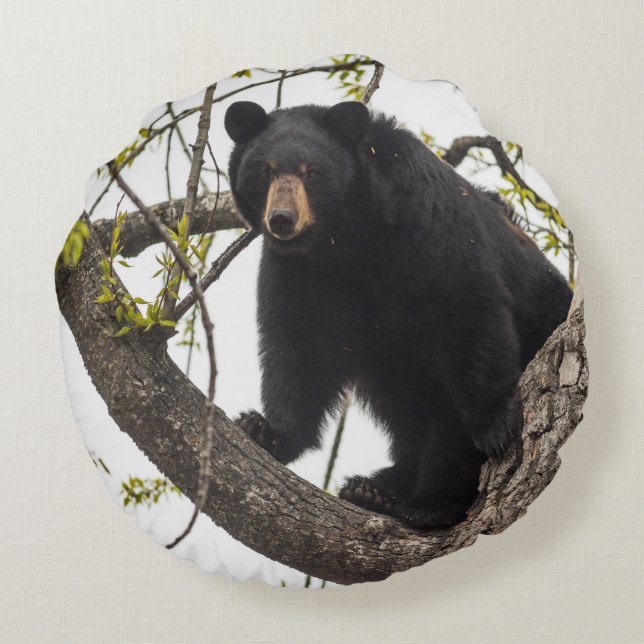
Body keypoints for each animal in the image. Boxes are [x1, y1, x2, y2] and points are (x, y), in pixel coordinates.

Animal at [223, 99, 573, 529]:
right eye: (265, 171)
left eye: (312, 172)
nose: (283, 219)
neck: (348, 240)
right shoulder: (302, 273)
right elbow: (300, 346)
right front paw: (266, 430)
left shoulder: (427, 224)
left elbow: (464, 308)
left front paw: (492, 425)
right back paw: (373, 488)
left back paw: (424, 503)